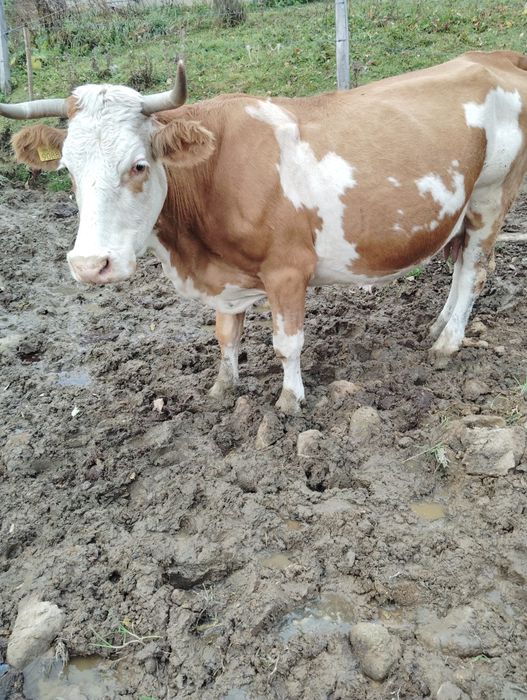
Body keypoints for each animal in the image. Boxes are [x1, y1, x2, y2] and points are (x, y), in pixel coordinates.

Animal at [2, 51, 527, 414]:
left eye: (138, 165)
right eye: (67, 170)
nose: (90, 265)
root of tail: (491, 57)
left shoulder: (288, 270)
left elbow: (287, 342)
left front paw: (290, 399)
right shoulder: (225, 279)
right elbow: (225, 335)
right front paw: (222, 387)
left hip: (491, 196)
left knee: (475, 271)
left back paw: (448, 342)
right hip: (462, 209)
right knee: (460, 265)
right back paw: (438, 325)